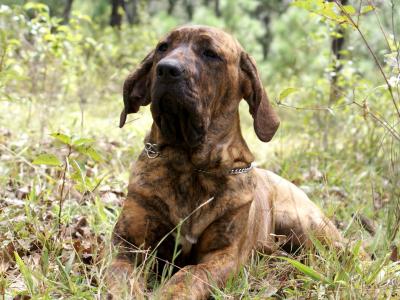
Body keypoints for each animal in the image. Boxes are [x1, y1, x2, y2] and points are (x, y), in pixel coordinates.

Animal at [107, 24, 344, 298]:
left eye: (210, 53)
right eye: (162, 48)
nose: (166, 69)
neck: (189, 164)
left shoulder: (223, 254)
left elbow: (190, 274)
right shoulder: (128, 244)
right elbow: (121, 274)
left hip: (303, 223)